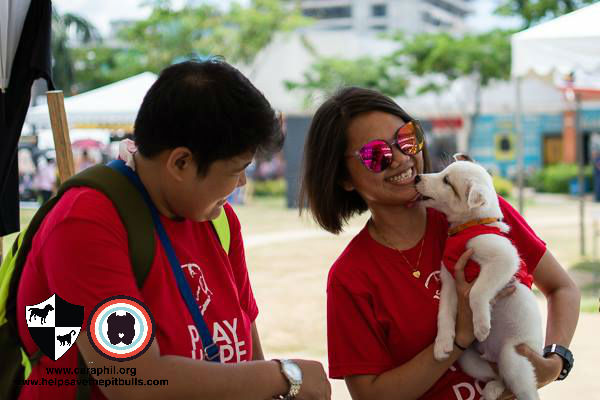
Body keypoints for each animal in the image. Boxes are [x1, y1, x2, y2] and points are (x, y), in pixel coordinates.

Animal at [414, 161, 540, 398]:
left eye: (447, 181)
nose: (416, 177)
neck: (470, 225)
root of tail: (491, 355)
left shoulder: (504, 259)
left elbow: (477, 292)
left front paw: (481, 324)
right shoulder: (449, 278)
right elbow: (444, 313)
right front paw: (441, 344)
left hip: (513, 357)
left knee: (522, 386)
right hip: (468, 358)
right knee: (497, 376)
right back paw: (492, 389)